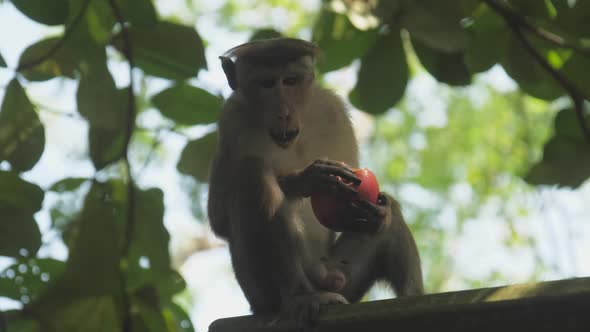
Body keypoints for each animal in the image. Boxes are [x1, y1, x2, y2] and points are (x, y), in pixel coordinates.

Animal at [209, 38, 426, 330]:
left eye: (290, 81)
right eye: (267, 84)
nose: (284, 113)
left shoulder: (332, 109)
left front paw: (376, 213)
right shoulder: (231, 120)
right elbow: (219, 218)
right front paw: (307, 179)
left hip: (343, 277)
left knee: (390, 224)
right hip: (260, 292)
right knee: (253, 172)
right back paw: (301, 297)